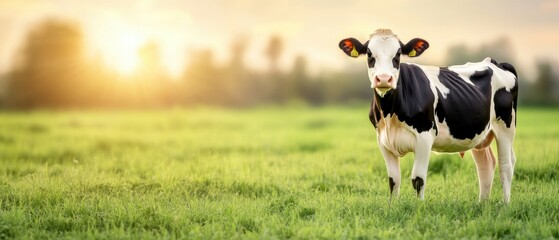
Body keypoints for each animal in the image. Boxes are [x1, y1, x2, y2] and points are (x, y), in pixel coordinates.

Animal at [340, 29, 520, 203]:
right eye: (369, 54)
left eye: (398, 54)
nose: (384, 79)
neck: (390, 114)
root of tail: (494, 62)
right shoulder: (383, 141)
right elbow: (393, 180)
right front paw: (392, 207)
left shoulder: (424, 137)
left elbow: (418, 179)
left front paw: (419, 207)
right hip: (479, 133)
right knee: (485, 165)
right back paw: (482, 204)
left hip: (506, 127)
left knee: (506, 165)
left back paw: (505, 204)